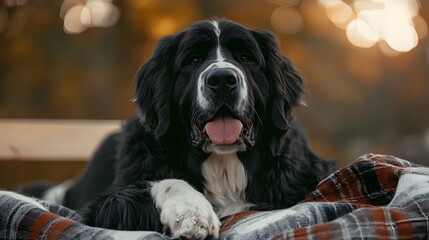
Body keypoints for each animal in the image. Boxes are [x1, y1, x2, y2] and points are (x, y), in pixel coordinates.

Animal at [70, 19, 332, 239]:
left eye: (246, 58)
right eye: (192, 61)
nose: (223, 79)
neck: (223, 164)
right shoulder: (105, 204)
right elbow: (163, 182)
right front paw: (193, 213)